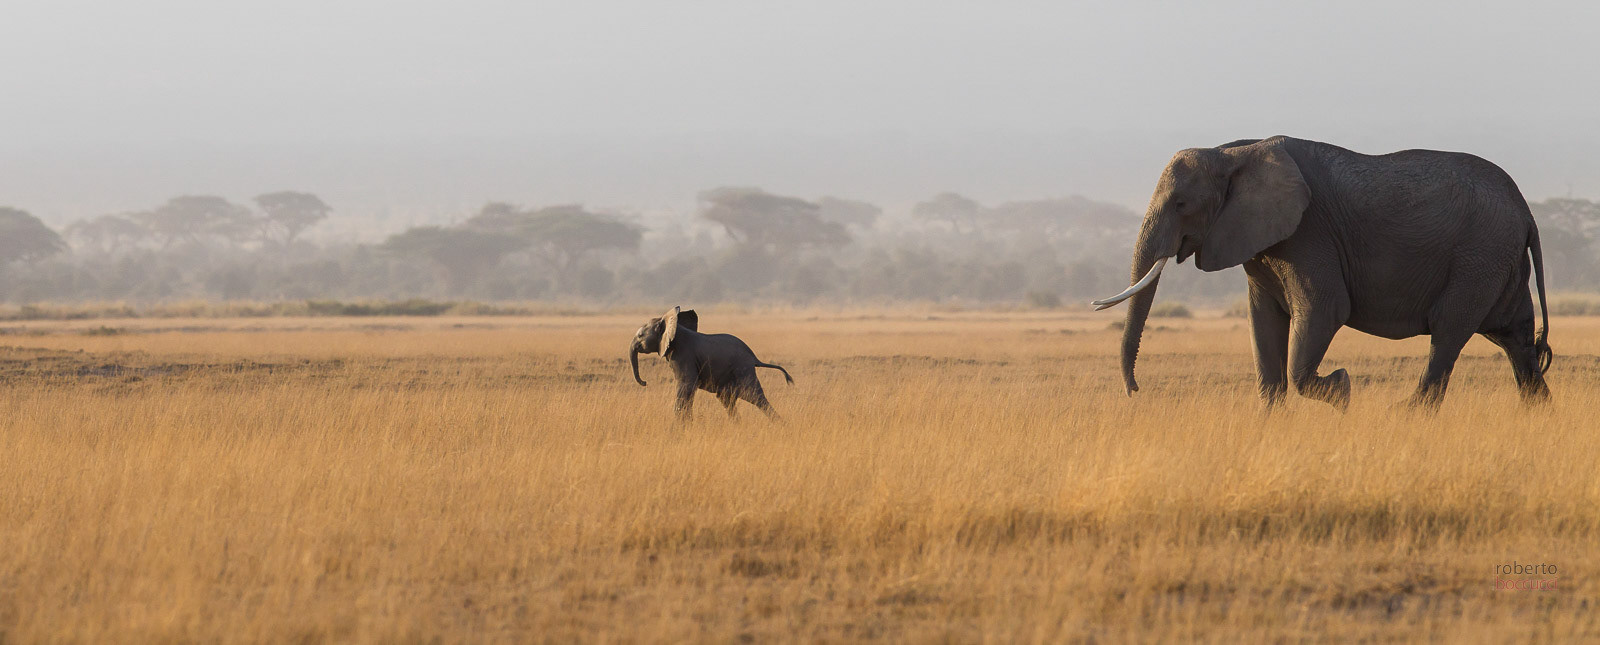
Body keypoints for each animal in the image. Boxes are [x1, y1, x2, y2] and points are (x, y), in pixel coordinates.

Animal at [630, 306, 794, 421]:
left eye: (640, 335)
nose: (645, 382)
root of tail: (754, 358)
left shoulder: (684, 356)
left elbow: (686, 386)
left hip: (743, 369)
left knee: (755, 397)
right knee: (728, 400)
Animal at [1092, 136, 1552, 410]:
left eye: (1181, 204)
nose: (1136, 393)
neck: (1236, 150)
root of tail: (1527, 212)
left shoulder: (1309, 233)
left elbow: (1324, 310)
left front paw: (1342, 389)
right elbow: (1263, 323)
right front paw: (1269, 421)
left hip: (1480, 256)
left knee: (1449, 331)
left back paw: (1406, 414)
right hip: (1499, 261)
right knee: (1515, 338)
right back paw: (1538, 413)